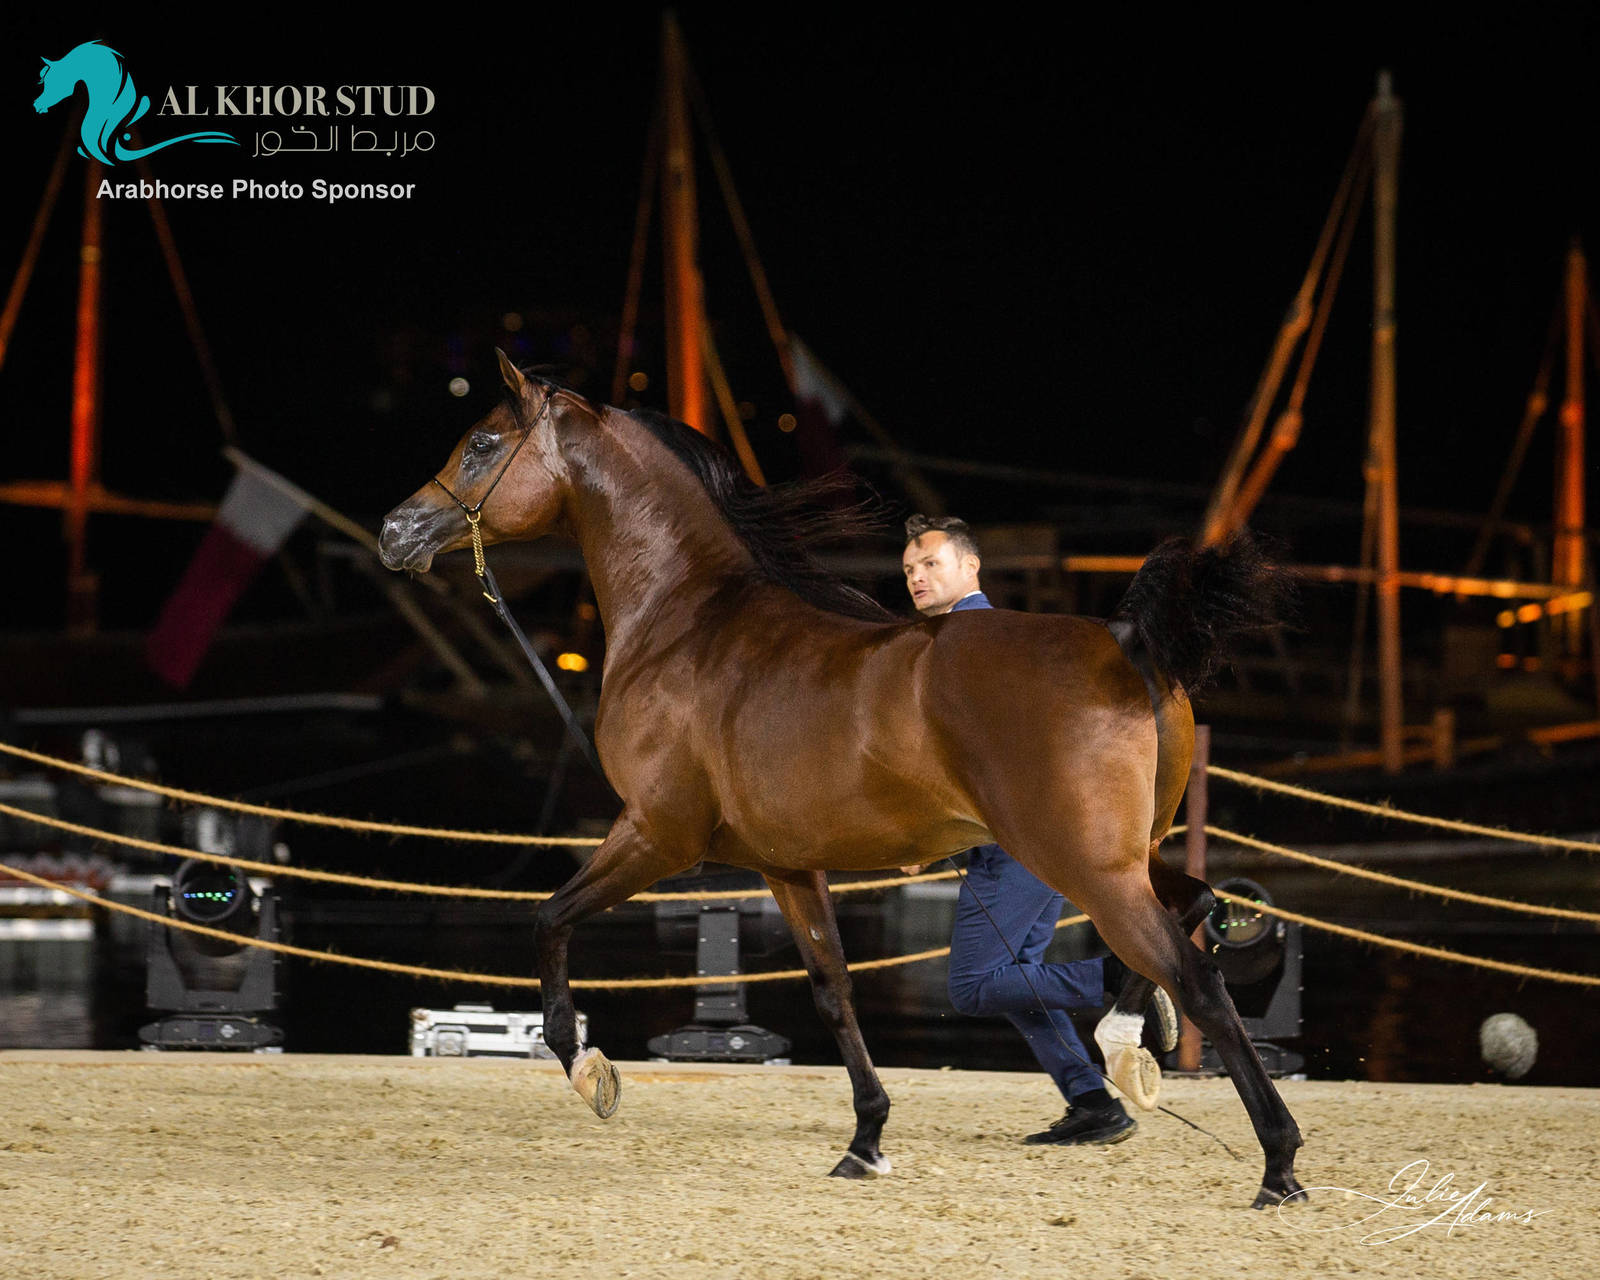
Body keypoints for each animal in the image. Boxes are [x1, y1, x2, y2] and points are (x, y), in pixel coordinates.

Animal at [378, 353, 1305, 1208]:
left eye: (482, 442)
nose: (395, 531)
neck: (687, 621)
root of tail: (1126, 643)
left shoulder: (657, 834)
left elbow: (549, 919)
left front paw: (587, 1066)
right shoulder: (786, 864)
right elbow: (833, 992)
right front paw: (866, 1141)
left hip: (1085, 865)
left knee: (1197, 976)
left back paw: (1276, 1163)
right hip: (1126, 856)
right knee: (1198, 910)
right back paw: (1129, 1039)